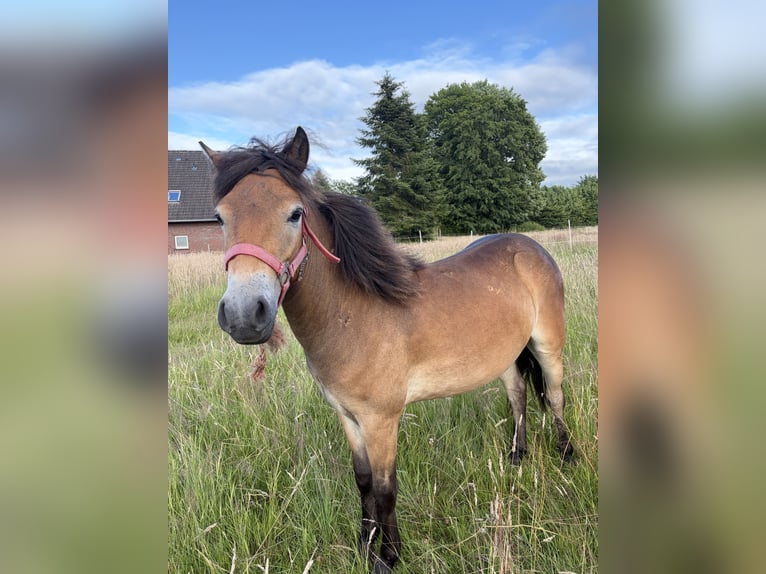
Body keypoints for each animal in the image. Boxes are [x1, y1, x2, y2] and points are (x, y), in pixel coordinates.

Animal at [201, 127, 574, 573]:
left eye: (295, 214)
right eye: (220, 217)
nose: (244, 315)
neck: (354, 316)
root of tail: (530, 246)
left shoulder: (381, 420)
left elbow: (385, 487)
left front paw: (389, 556)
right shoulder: (347, 415)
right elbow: (362, 481)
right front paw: (364, 543)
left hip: (549, 346)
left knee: (555, 397)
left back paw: (567, 454)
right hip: (502, 356)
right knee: (517, 395)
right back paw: (518, 455)